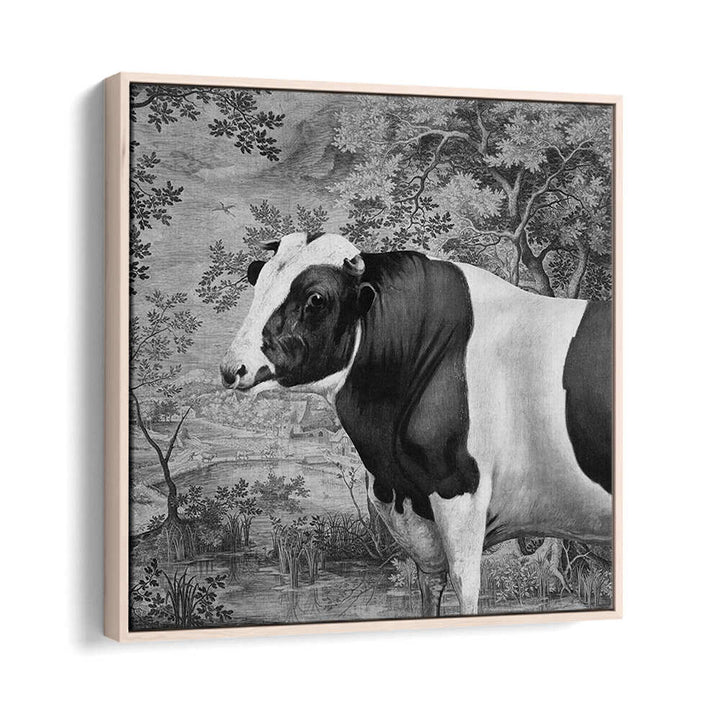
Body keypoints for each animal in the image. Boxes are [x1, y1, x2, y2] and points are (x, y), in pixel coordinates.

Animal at [220, 231, 613, 617]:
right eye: (258, 278)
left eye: (316, 299)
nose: (231, 367)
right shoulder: (413, 512)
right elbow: (430, 585)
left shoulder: (461, 491)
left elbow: (465, 588)